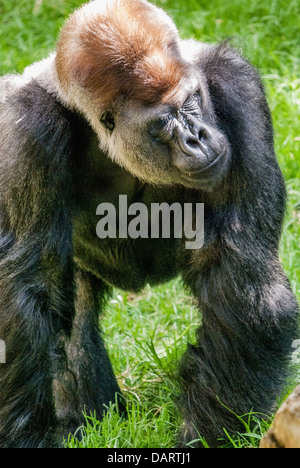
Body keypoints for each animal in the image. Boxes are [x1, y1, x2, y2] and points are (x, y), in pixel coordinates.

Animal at [0, 0, 298, 448]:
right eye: (162, 124)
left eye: (192, 101)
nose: (197, 137)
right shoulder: (23, 129)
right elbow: (26, 298)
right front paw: (29, 436)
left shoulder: (235, 84)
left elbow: (242, 279)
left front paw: (209, 434)